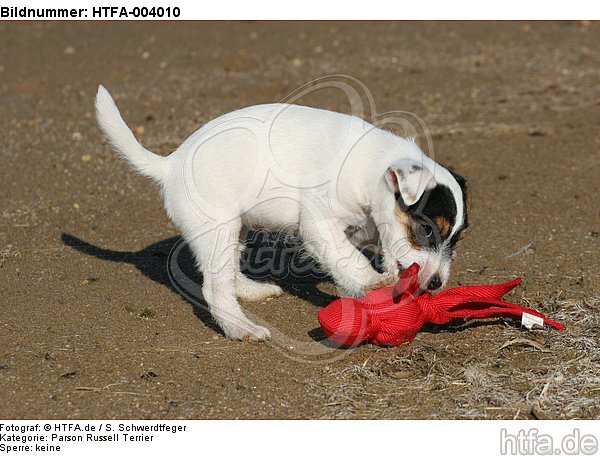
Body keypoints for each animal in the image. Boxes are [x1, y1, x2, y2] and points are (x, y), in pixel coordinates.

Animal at [95, 87, 468, 340]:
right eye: (426, 229)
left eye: (455, 237)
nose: (437, 283)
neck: (372, 167)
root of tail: (170, 164)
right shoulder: (318, 224)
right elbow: (348, 257)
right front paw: (371, 282)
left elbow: (363, 259)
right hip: (218, 228)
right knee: (214, 289)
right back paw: (241, 328)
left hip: (236, 229)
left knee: (229, 273)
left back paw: (251, 291)